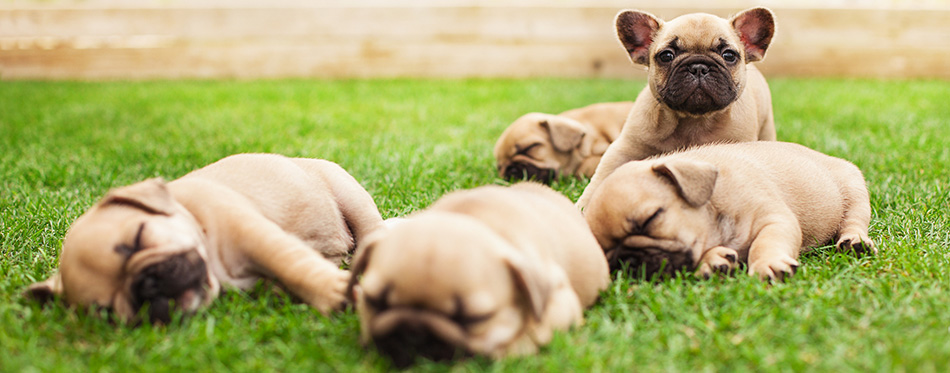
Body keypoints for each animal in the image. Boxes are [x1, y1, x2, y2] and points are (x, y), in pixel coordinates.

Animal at [24, 153, 384, 322]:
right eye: (108, 313)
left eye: (139, 238)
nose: (145, 287)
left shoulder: (255, 233)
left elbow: (290, 263)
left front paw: (332, 293)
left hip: (349, 195)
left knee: (371, 234)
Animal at [576, 7, 776, 209]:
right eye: (666, 56)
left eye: (729, 55)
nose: (698, 67)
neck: (694, 120)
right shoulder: (625, 148)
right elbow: (602, 174)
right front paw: (583, 206)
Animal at [588, 141, 876, 280]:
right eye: (606, 253)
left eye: (650, 219)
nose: (626, 260)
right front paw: (713, 261)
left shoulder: (774, 221)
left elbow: (765, 243)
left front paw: (768, 264)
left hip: (853, 188)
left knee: (854, 221)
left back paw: (854, 241)